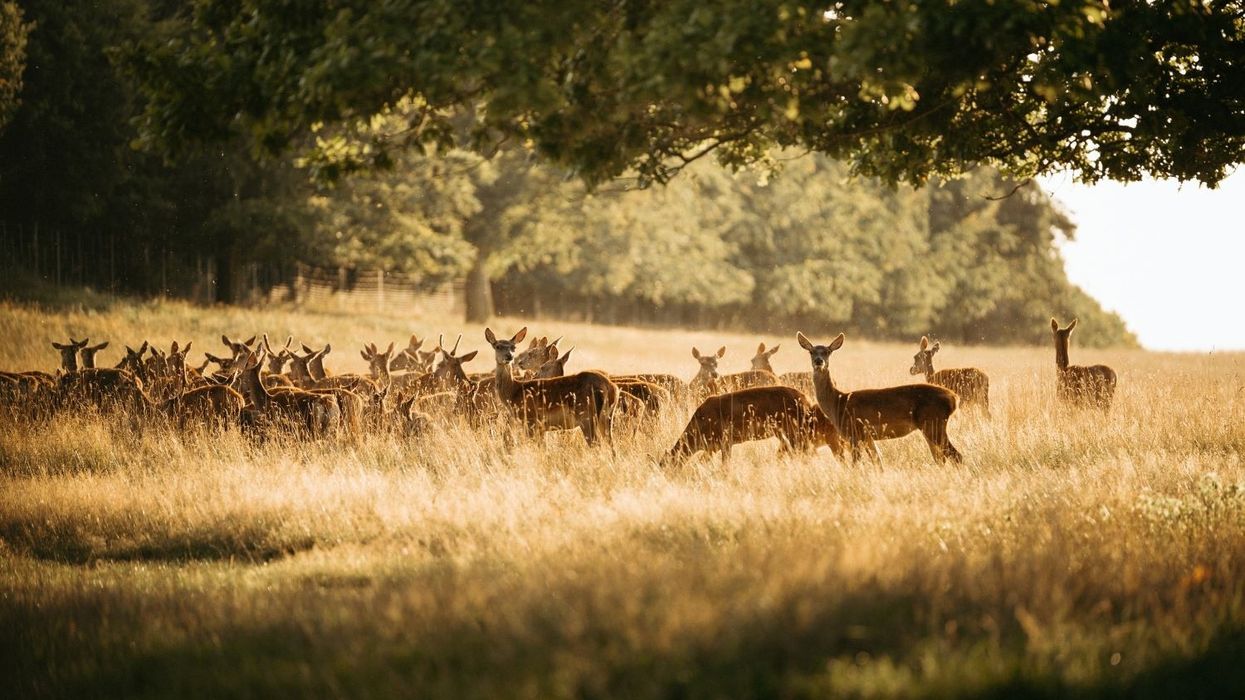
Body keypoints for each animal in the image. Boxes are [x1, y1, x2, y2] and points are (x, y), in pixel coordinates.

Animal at [485, 327, 617, 445]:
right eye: (497, 346)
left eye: (514, 347)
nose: (509, 357)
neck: (513, 392)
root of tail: (611, 387)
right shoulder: (539, 427)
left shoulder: (530, 420)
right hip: (607, 416)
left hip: (586, 416)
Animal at [797, 332, 962, 464]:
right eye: (811, 352)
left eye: (828, 352)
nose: (819, 361)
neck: (838, 402)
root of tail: (954, 398)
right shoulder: (868, 437)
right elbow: (878, 462)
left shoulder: (853, 432)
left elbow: (856, 464)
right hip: (930, 425)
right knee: (942, 458)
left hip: (933, 422)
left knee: (956, 455)